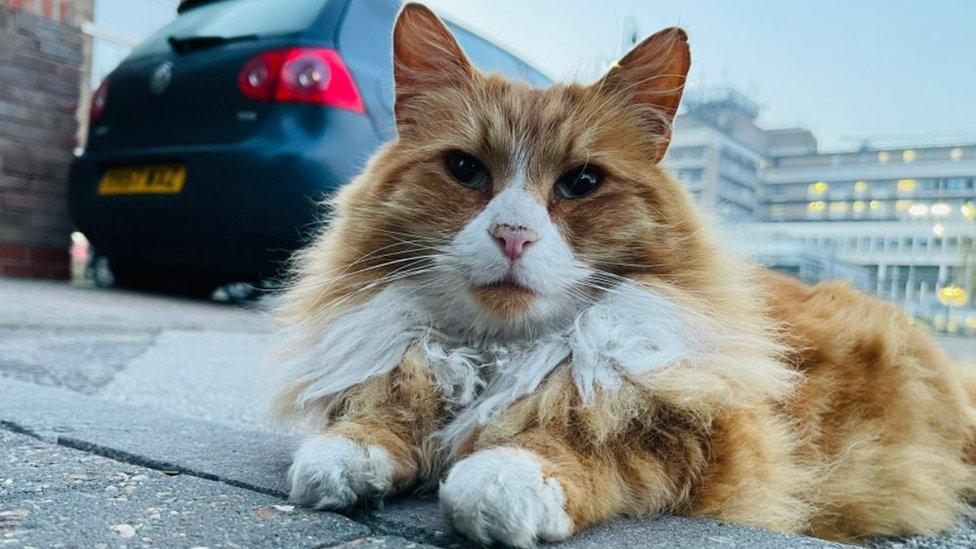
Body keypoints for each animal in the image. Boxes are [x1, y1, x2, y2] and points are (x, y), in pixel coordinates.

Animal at [272, 4, 976, 544]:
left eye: (581, 182)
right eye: (466, 170)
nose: (513, 235)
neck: (503, 352)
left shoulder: (710, 439)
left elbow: (585, 446)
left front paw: (501, 476)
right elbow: (374, 419)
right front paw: (350, 454)